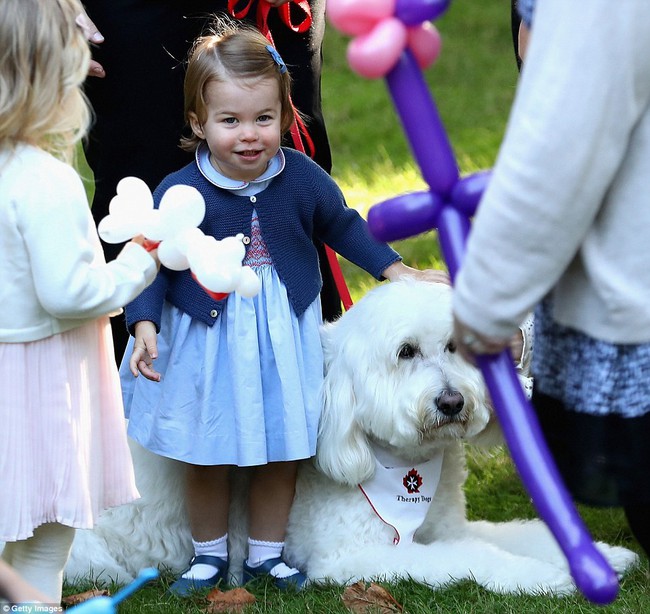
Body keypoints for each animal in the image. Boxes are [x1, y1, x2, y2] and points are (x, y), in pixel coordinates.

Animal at [64, 280, 632, 596]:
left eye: (454, 347)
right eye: (406, 352)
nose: (452, 403)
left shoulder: (445, 529)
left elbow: (513, 532)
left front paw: (602, 556)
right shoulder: (356, 558)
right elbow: (474, 557)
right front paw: (547, 577)